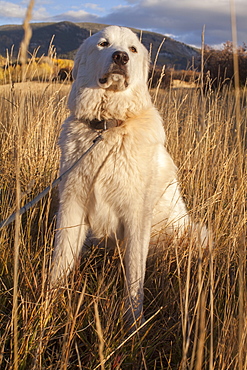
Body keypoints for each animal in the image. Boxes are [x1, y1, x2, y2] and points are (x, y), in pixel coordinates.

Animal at [50, 25, 206, 326]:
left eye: (132, 49)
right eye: (103, 44)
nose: (120, 57)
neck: (109, 127)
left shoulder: (137, 217)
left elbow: (134, 276)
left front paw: (133, 322)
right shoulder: (72, 205)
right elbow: (61, 259)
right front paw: (47, 301)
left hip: (193, 234)